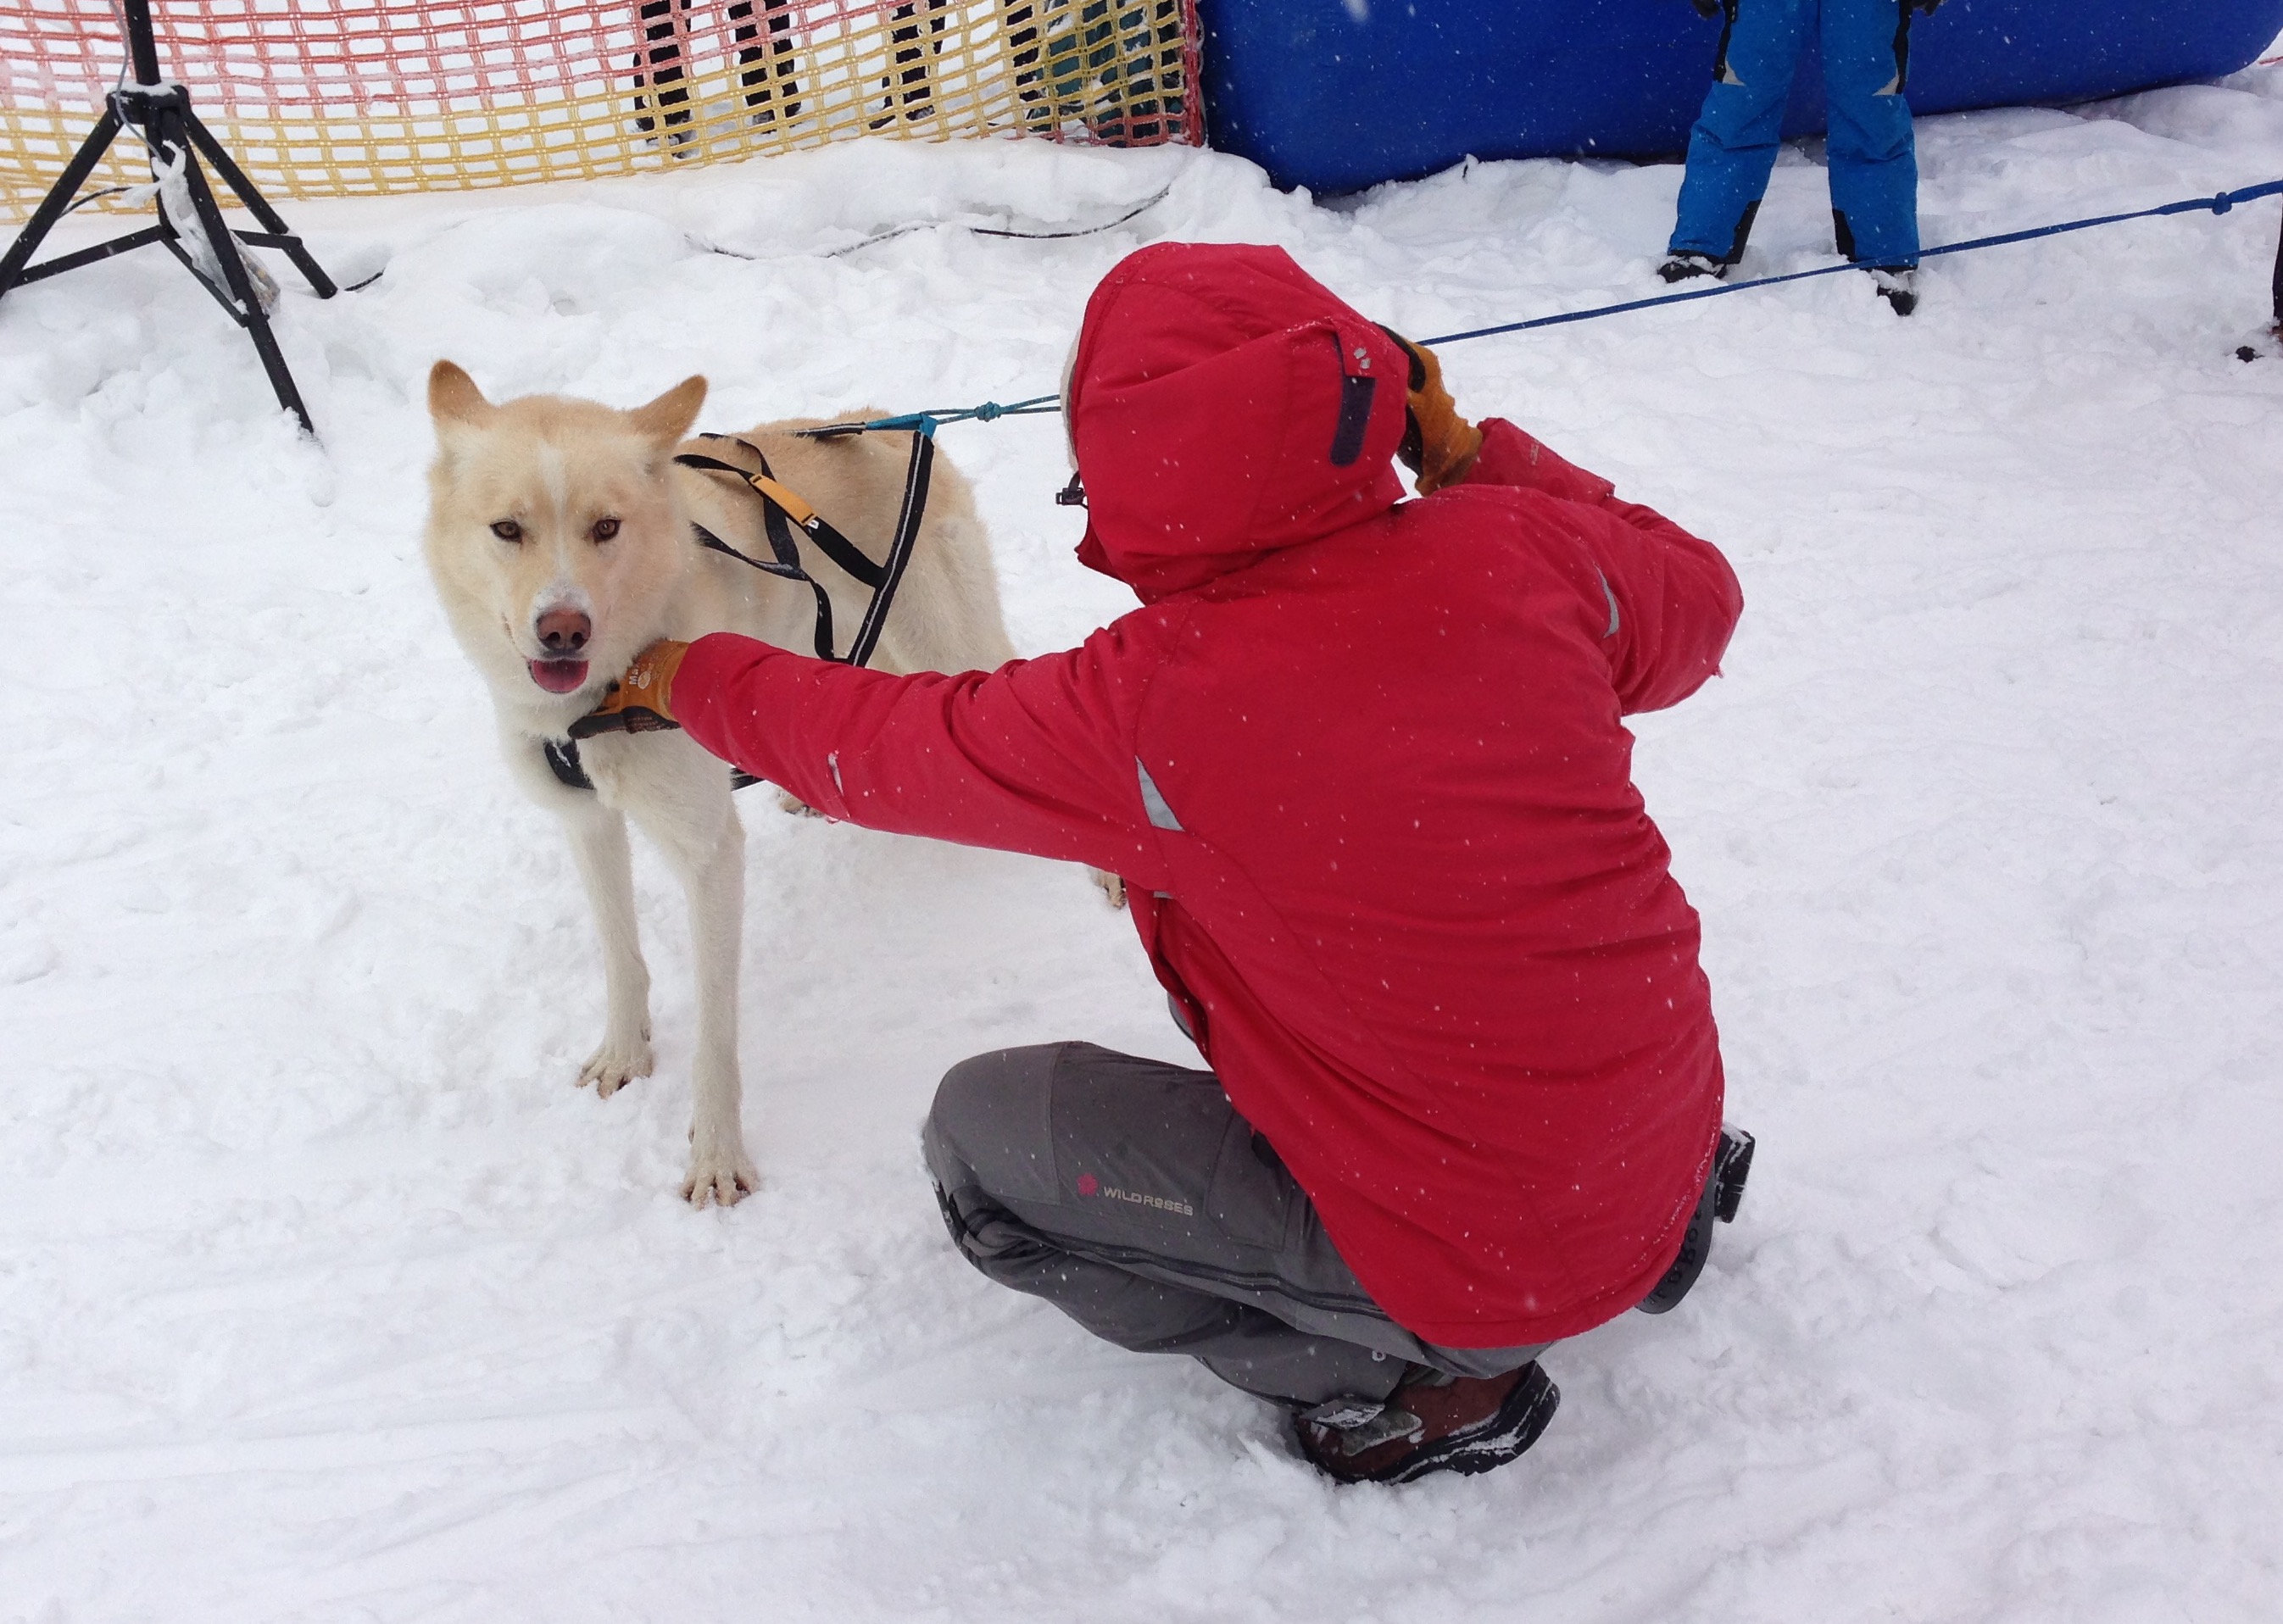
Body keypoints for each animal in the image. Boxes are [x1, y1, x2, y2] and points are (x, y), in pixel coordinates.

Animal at [417, 365, 1018, 1205]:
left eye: (606, 527)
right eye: (508, 529)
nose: (562, 629)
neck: (601, 697)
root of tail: (888, 422)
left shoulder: (708, 855)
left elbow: (714, 1033)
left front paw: (716, 1154)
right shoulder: (587, 825)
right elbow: (621, 955)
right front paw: (625, 1052)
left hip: (952, 638)